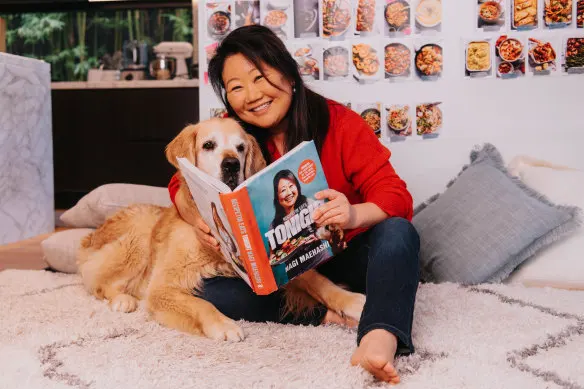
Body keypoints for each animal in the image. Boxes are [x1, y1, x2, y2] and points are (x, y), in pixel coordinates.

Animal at [77, 117, 364, 340]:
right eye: (208, 145)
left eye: (240, 147)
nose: (231, 164)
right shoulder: (162, 287)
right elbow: (200, 304)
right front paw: (224, 325)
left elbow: (317, 279)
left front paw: (351, 300)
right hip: (137, 234)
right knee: (99, 284)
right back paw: (122, 300)